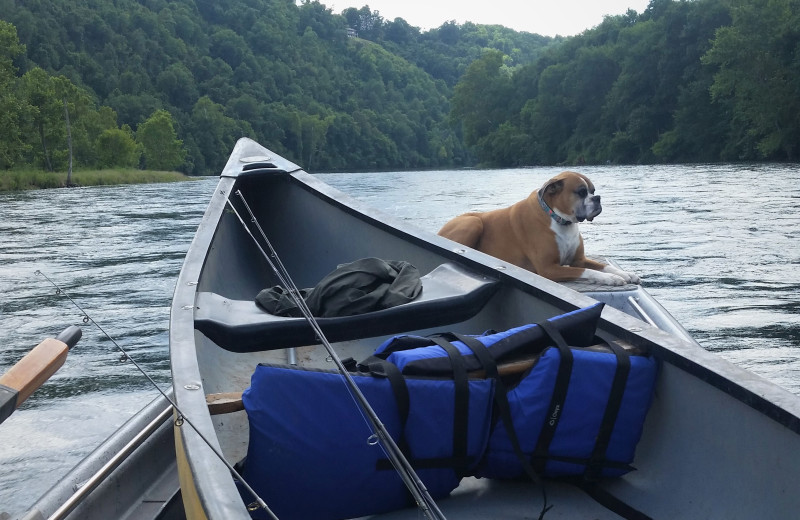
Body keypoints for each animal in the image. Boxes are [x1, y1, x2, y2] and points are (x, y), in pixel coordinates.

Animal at [434, 171, 640, 284]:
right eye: (581, 192)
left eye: (593, 191)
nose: (597, 198)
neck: (560, 220)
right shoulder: (549, 269)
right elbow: (588, 272)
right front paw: (611, 279)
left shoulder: (578, 260)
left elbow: (604, 266)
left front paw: (626, 274)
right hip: (473, 222)